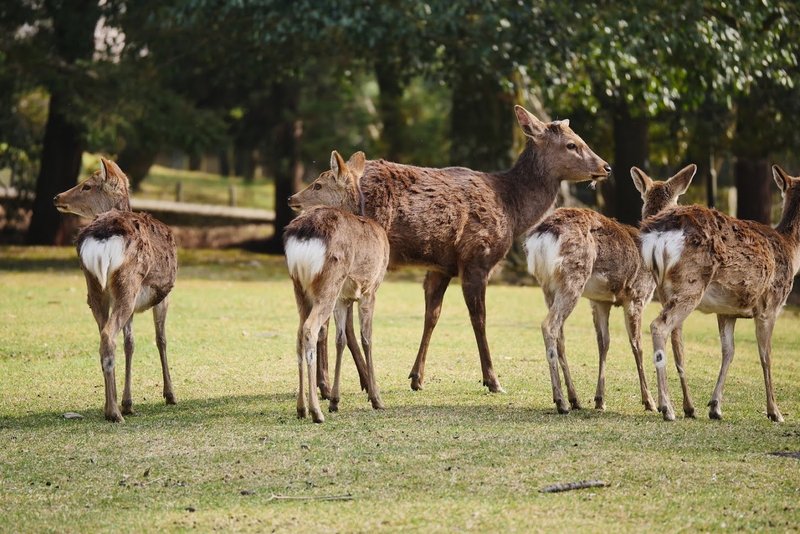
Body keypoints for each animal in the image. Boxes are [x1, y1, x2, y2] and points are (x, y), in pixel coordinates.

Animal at [54, 158, 178, 422]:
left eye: (87, 185)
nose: (57, 197)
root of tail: (102, 235)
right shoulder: (164, 296)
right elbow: (161, 339)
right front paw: (170, 395)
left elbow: (130, 343)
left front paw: (128, 402)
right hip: (127, 285)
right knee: (109, 334)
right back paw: (114, 413)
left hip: (94, 287)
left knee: (103, 335)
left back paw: (109, 407)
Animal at [284, 153, 390, 426]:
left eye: (318, 185)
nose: (291, 198)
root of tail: (303, 235)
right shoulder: (371, 288)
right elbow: (367, 337)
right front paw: (377, 398)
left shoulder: (344, 298)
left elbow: (340, 339)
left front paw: (335, 400)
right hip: (329, 282)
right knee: (309, 329)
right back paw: (316, 412)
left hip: (299, 286)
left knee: (298, 332)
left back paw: (301, 408)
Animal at [290, 105, 608, 398]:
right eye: (572, 144)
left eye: (580, 138)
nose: (606, 166)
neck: (512, 210)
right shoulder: (477, 257)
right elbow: (479, 318)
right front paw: (493, 380)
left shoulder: (440, 265)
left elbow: (432, 315)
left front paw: (416, 377)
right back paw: (349, 383)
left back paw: (326, 384)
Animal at [524, 165, 692, 416]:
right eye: (677, 201)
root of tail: (541, 237)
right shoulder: (637, 294)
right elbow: (637, 345)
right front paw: (650, 402)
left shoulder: (599, 300)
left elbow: (604, 343)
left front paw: (600, 399)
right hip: (574, 277)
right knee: (549, 325)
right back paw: (561, 401)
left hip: (548, 286)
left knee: (560, 334)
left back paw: (574, 398)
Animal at [640, 163, 800, 422]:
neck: (792, 252)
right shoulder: (771, 305)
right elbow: (766, 356)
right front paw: (775, 412)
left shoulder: (727, 311)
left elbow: (728, 352)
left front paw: (715, 406)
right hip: (691, 285)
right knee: (658, 325)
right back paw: (667, 408)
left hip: (666, 288)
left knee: (673, 335)